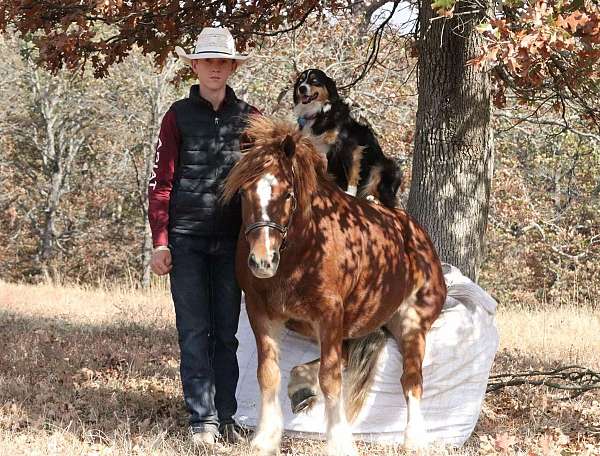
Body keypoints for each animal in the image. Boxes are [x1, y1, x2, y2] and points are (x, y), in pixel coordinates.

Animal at [221, 117, 446, 456]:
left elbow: (331, 380)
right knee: (342, 359)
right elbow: (269, 374)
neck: (305, 249)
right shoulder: (261, 312)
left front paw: (339, 441)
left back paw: (415, 439)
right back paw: (301, 387)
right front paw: (265, 438)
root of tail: (417, 236)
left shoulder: (329, 315)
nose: (262, 261)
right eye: (245, 193)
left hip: (412, 324)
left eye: (288, 194)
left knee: (411, 379)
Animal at [292, 68, 400, 208]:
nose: (302, 88)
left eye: (314, 80)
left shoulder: (349, 146)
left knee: (390, 202)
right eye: (301, 80)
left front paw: (349, 193)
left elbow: (352, 172)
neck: (319, 114)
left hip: (387, 166)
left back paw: (374, 199)